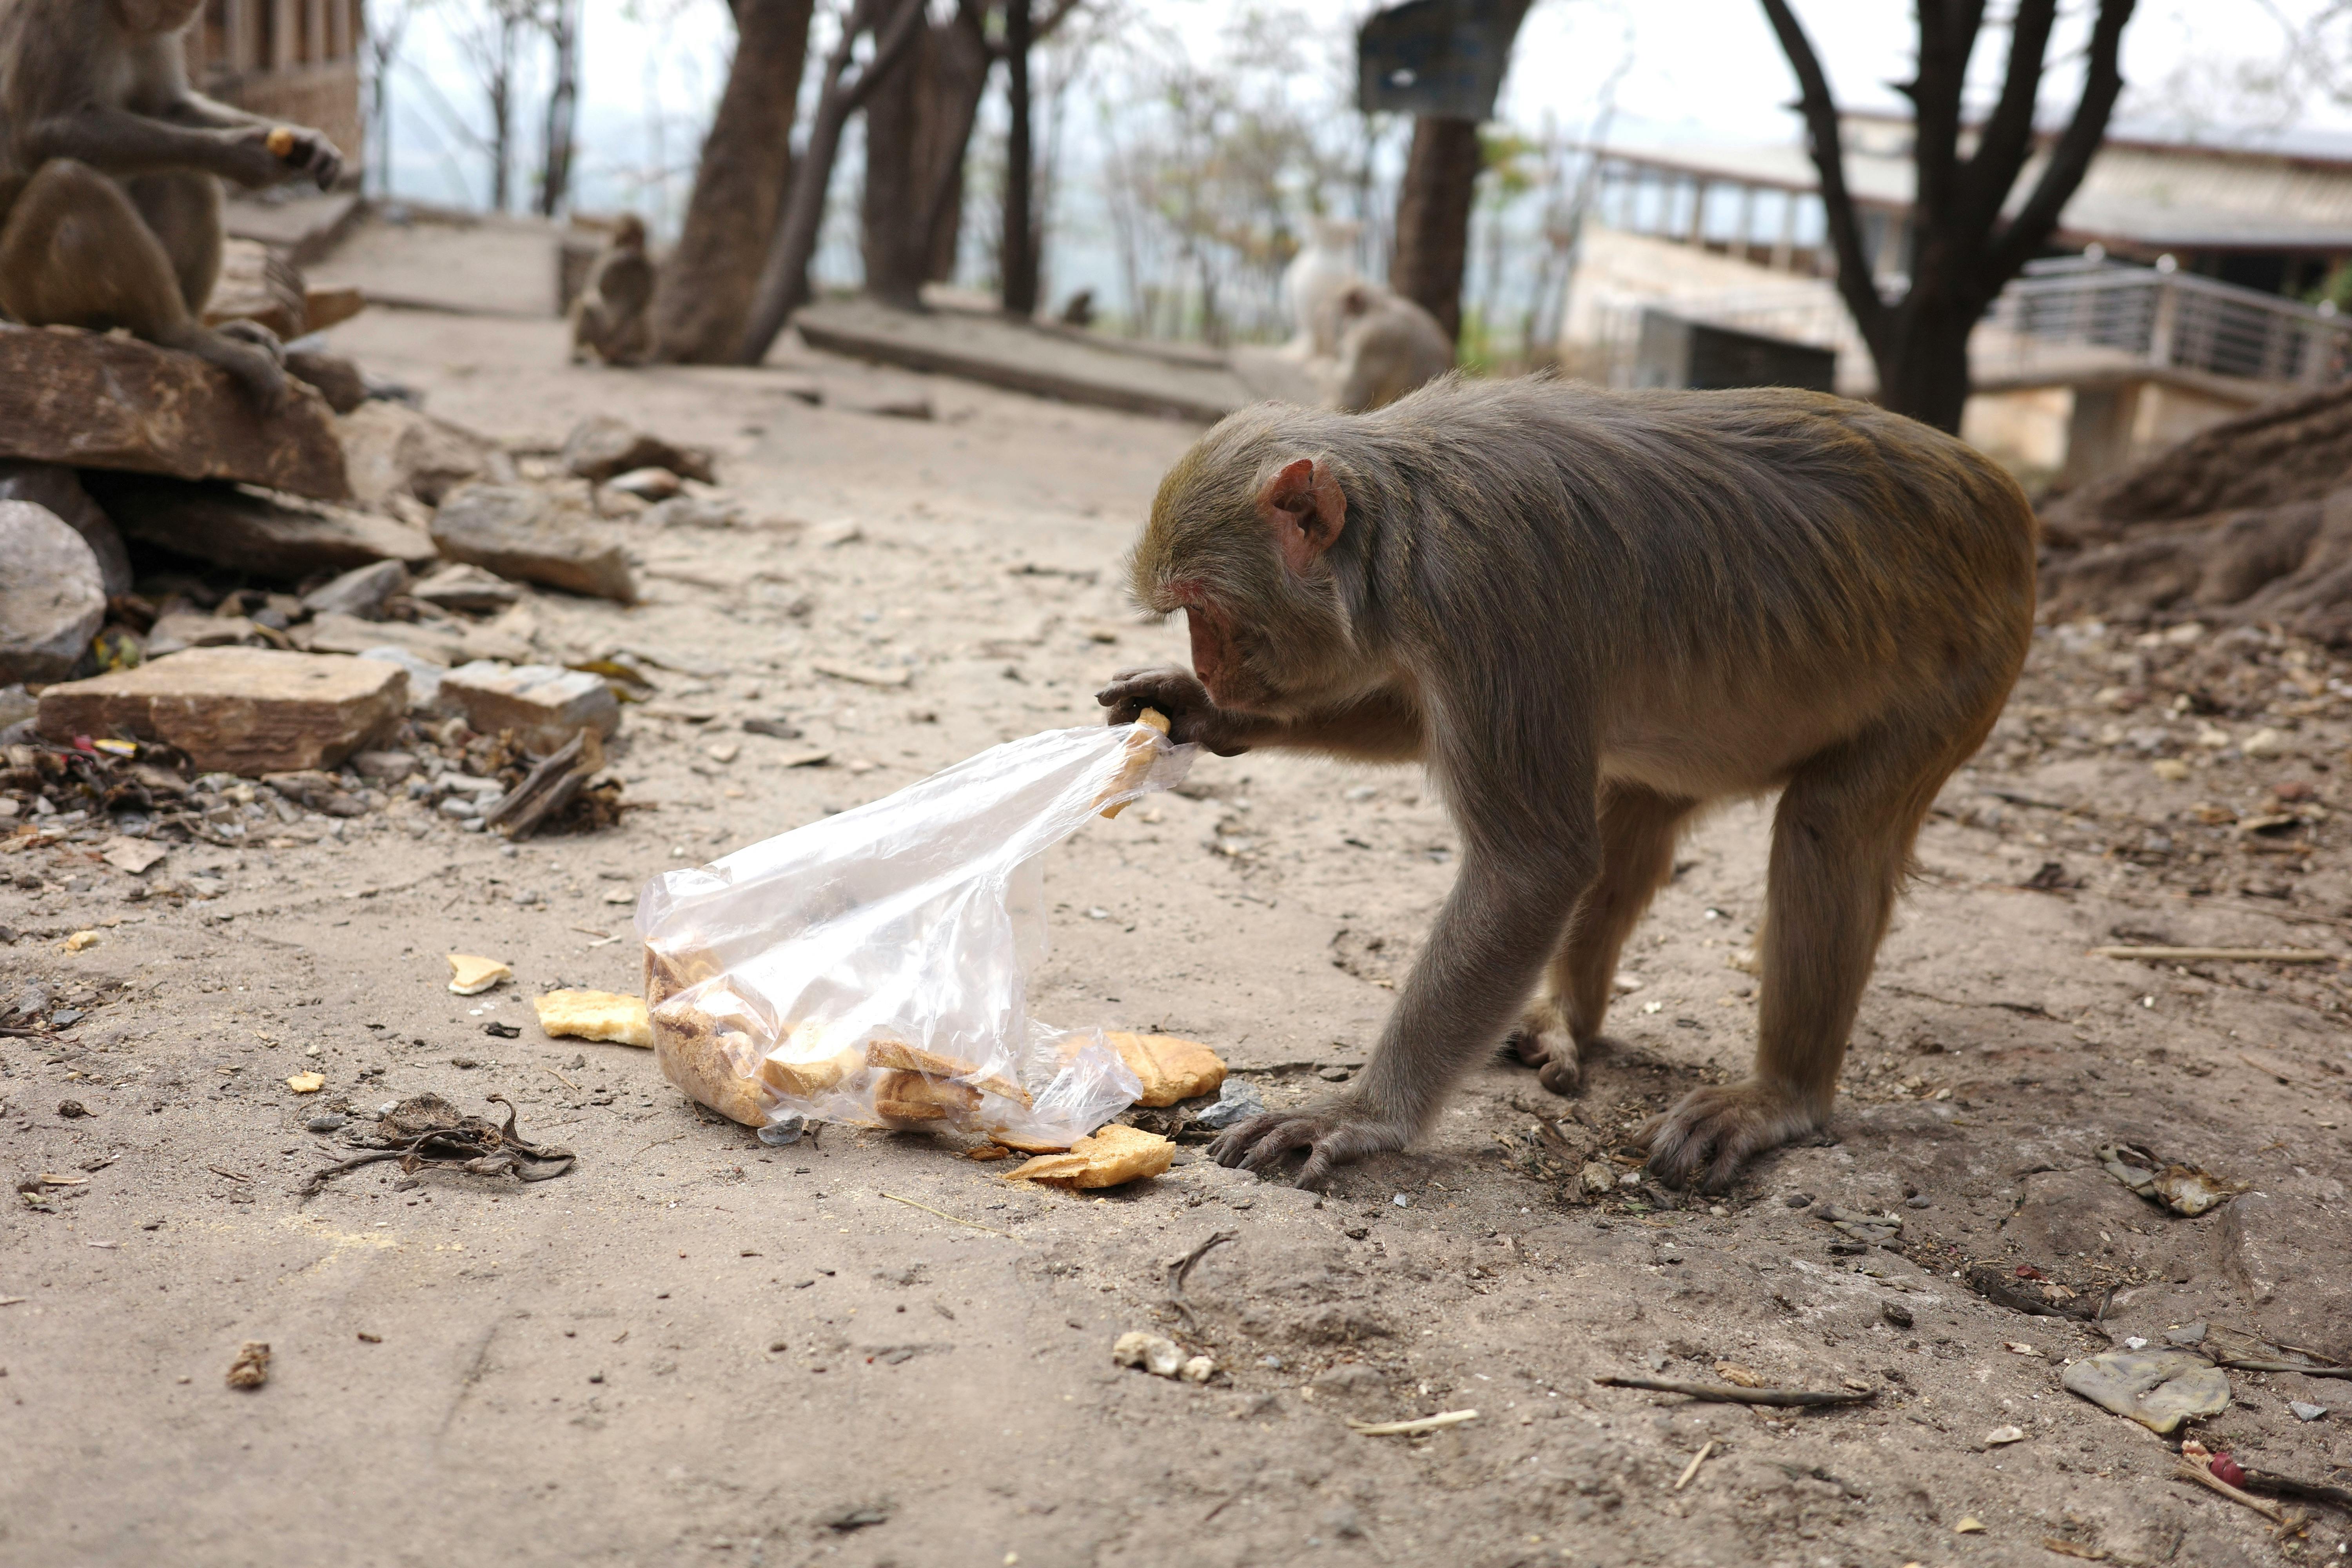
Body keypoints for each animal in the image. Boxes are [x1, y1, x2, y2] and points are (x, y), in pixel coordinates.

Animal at [0, 0, 343, 408]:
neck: (118, 16)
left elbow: (169, 108)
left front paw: (305, 142)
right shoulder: (61, 10)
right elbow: (46, 130)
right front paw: (238, 154)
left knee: (188, 176)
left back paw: (204, 332)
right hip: (24, 287)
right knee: (74, 184)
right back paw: (179, 335)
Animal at [568, 214, 654, 367]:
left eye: (638, 239)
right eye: (628, 238)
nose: (634, 248)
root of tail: (609, 350)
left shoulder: (647, 264)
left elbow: (643, 299)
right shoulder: (606, 257)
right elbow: (598, 287)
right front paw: (623, 256)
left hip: (620, 339)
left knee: (639, 315)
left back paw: (633, 356)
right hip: (599, 340)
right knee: (585, 305)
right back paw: (579, 352)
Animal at [1098, 376, 2036, 1192]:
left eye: (1204, 609)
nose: (1211, 668)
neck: (1405, 516)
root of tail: (2003, 495)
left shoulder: (1487, 591)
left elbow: (1532, 868)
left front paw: (1360, 1117)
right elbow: (1412, 716)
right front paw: (1205, 714)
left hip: (1967, 666)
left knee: (1828, 828)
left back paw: (1781, 1096)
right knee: (1632, 813)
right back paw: (1568, 1017)